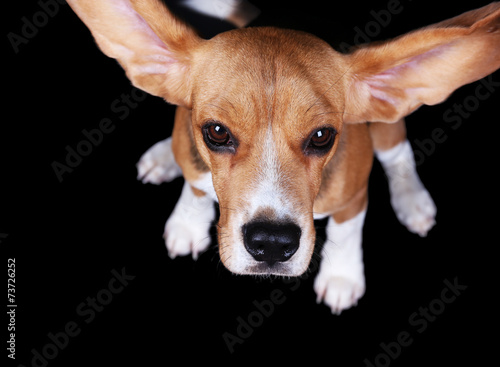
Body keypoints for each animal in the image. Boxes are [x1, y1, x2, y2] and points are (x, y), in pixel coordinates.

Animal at [66, 0, 500, 316]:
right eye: (217, 132)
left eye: (322, 137)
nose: (272, 244)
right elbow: (197, 189)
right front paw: (187, 222)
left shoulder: (353, 198)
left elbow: (345, 233)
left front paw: (342, 276)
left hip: (387, 126)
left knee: (399, 157)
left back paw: (412, 200)